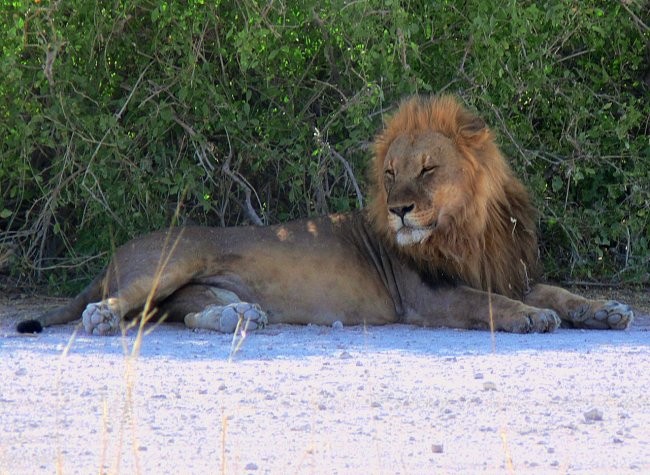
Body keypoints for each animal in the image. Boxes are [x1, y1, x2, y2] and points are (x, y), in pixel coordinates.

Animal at [16, 95, 632, 336]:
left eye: (428, 169)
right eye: (390, 174)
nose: (399, 209)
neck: (468, 230)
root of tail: (113, 256)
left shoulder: (510, 272)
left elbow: (560, 293)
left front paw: (608, 310)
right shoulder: (429, 298)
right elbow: (490, 304)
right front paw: (531, 318)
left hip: (191, 288)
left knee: (179, 315)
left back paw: (241, 316)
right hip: (170, 263)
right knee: (119, 306)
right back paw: (101, 318)